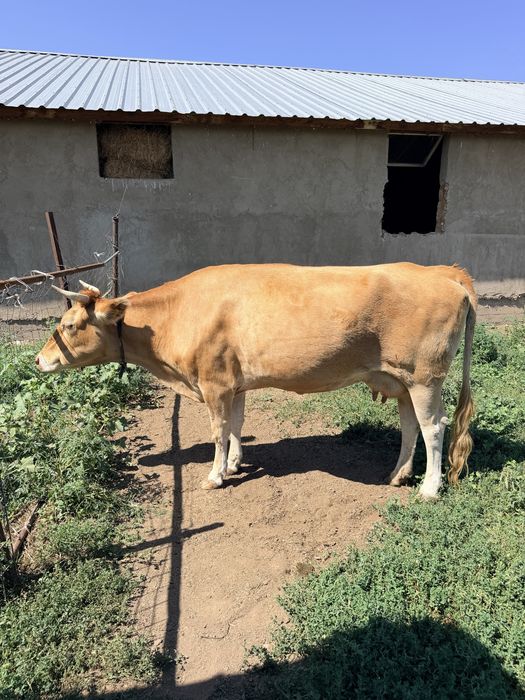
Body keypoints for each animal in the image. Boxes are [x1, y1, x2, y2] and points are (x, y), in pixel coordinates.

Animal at [36, 263, 476, 500]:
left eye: (70, 325)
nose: (39, 360)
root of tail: (441, 272)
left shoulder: (213, 383)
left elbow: (218, 430)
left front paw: (215, 475)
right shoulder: (234, 383)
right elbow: (236, 425)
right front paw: (234, 463)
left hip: (424, 377)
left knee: (433, 428)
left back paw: (430, 488)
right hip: (399, 379)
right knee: (410, 427)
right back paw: (397, 474)